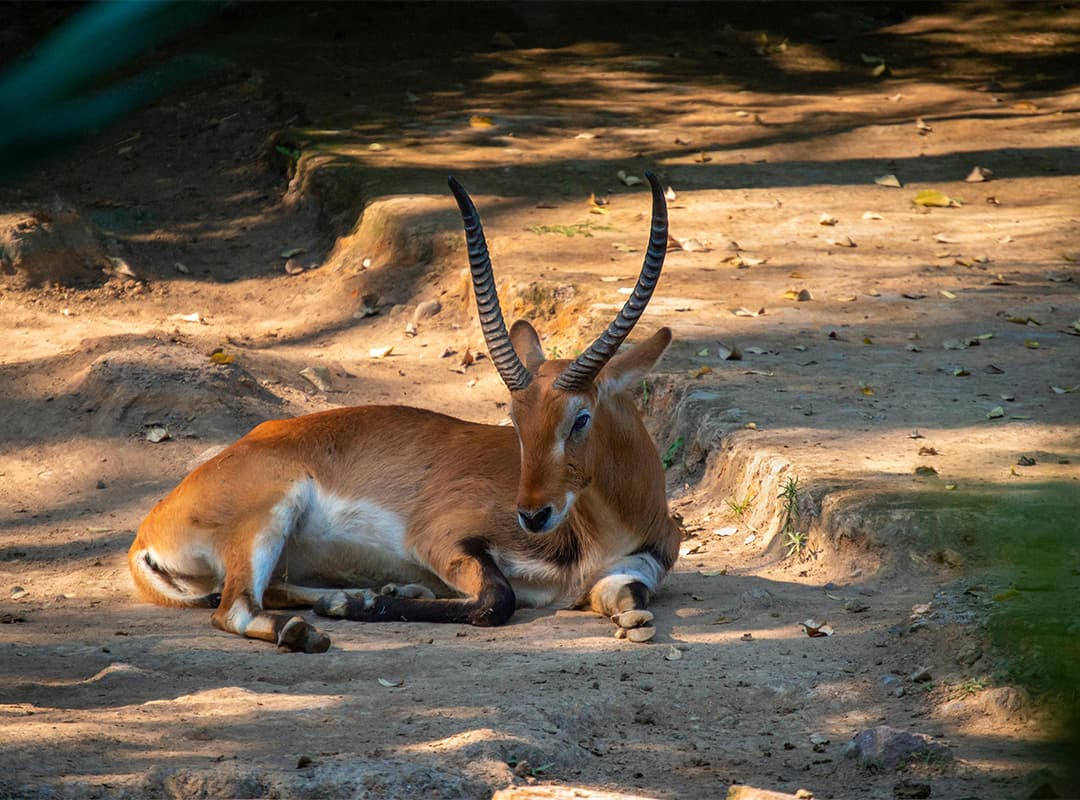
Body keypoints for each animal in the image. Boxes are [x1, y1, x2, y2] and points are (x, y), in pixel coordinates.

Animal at [126, 172, 678, 647]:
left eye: (579, 418)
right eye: (516, 422)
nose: (531, 514)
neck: (600, 534)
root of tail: (148, 530)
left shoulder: (628, 573)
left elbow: (629, 603)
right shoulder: (441, 539)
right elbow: (497, 600)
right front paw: (364, 606)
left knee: (263, 592)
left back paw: (363, 593)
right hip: (269, 516)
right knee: (234, 608)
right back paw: (314, 625)